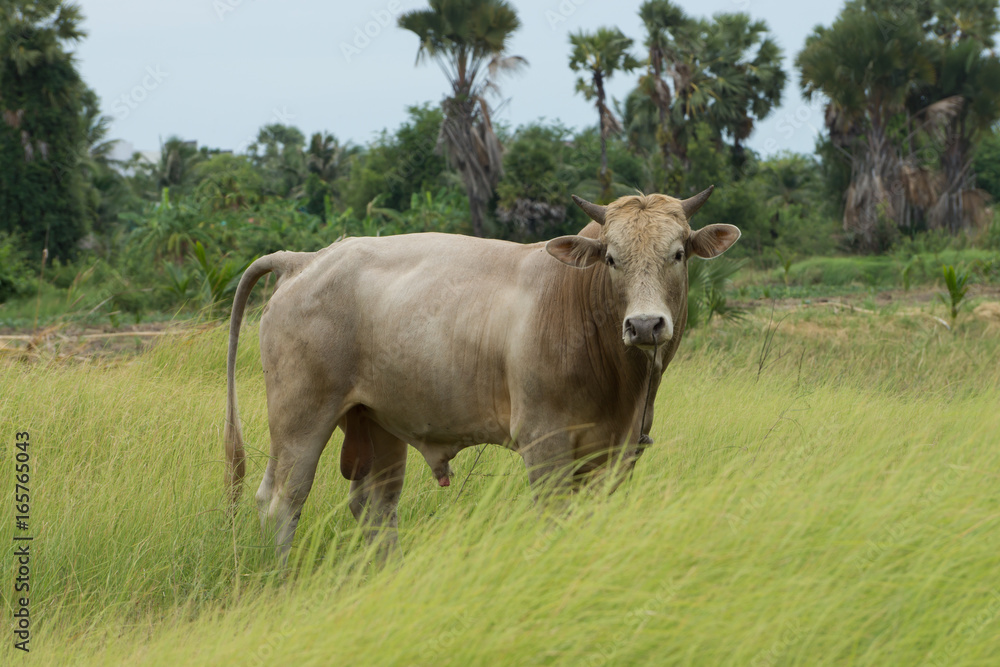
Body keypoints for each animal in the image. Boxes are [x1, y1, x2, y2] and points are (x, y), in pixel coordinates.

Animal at [223, 185, 740, 560]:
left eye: (678, 254)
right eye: (612, 258)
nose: (645, 324)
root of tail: (305, 260)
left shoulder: (617, 451)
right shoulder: (544, 444)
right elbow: (553, 518)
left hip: (379, 423)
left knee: (374, 507)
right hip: (300, 418)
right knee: (282, 503)